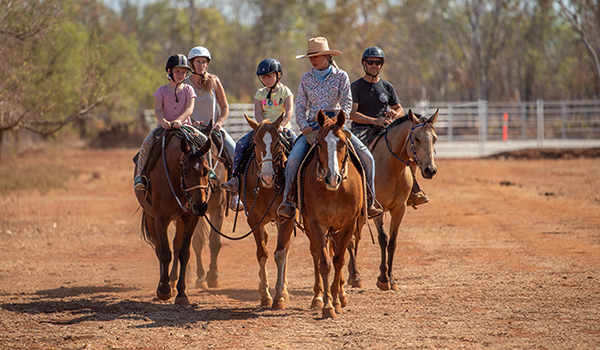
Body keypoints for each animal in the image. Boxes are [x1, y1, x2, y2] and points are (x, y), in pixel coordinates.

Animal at [136, 129, 213, 304]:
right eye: (185, 171)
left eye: (206, 170)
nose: (201, 206)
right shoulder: (160, 218)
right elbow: (164, 253)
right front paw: (163, 290)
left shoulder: (191, 218)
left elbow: (184, 253)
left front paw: (182, 293)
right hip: (151, 217)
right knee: (159, 248)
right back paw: (163, 284)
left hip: (180, 220)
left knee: (176, 246)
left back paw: (172, 281)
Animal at [240, 113, 294, 308]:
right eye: (255, 144)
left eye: (278, 142)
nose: (268, 177)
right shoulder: (253, 219)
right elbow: (262, 253)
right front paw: (265, 295)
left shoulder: (285, 218)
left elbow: (280, 254)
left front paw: (279, 297)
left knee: (286, 248)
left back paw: (284, 290)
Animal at [296, 109, 364, 318]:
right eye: (319, 143)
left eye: (342, 142)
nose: (332, 178)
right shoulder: (316, 223)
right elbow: (324, 262)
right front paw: (327, 305)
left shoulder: (349, 224)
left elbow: (339, 260)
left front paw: (337, 300)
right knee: (317, 254)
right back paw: (318, 297)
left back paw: (340, 295)